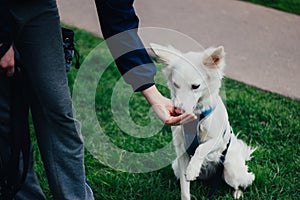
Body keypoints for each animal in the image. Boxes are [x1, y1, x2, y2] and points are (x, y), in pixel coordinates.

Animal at [151, 43, 254, 199]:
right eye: (175, 84)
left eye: (195, 86)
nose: (178, 111)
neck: (196, 117)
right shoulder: (182, 152)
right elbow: (185, 188)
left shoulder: (218, 140)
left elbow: (202, 148)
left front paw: (193, 169)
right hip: (176, 167)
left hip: (232, 172)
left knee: (247, 178)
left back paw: (237, 192)